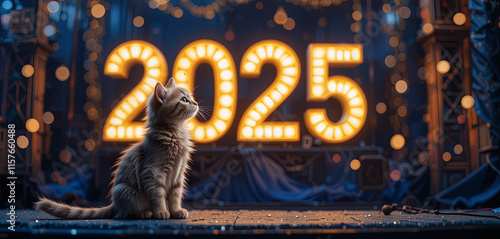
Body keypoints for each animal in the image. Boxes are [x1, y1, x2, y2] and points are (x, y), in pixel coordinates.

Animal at [35, 78, 198, 218]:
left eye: (191, 97)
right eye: (184, 100)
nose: (196, 103)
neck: (175, 134)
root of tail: (114, 204)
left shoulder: (179, 174)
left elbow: (175, 196)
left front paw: (175, 211)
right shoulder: (153, 172)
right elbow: (158, 195)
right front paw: (162, 212)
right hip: (125, 190)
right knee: (127, 212)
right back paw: (145, 213)